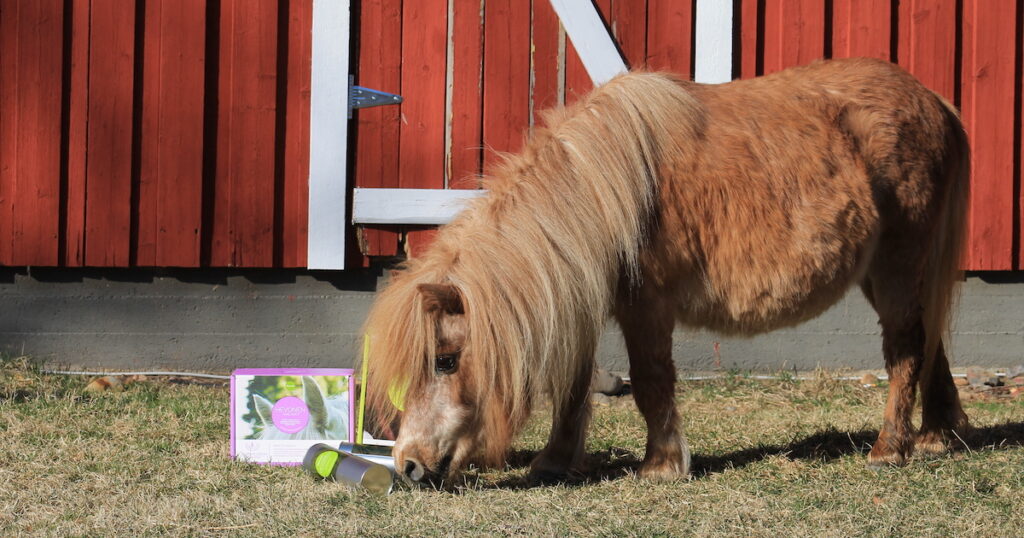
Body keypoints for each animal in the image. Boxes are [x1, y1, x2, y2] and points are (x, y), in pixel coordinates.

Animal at [360, 57, 966, 481]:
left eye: (445, 360)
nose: (408, 466)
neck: (598, 190)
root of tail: (933, 99)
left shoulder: (644, 303)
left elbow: (651, 381)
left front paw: (661, 464)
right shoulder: (584, 296)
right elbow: (574, 383)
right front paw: (555, 460)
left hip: (897, 263)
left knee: (907, 348)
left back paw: (890, 448)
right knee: (930, 340)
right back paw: (935, 436)